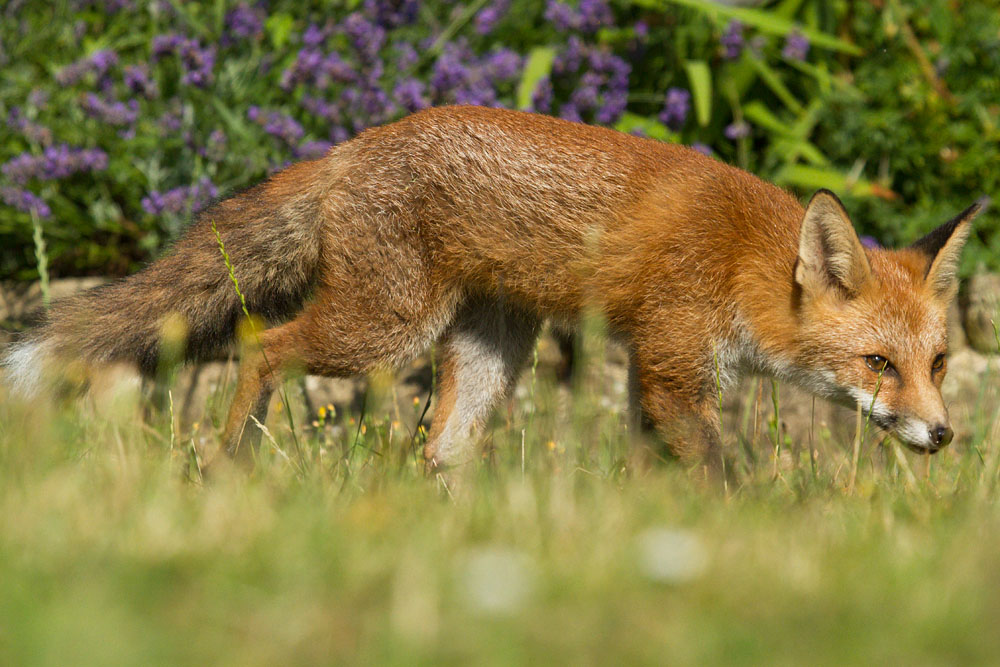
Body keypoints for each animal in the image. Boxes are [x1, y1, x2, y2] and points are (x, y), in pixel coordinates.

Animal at [2, 105, 989, 472]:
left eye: (939, 361)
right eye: (879, 362)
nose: (945, 433)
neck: (743, 259)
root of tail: (351, 145)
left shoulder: (653, 377)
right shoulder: (673, 367)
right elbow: (727, 474)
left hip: (485, 355)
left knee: (436, 451)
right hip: (382, 329)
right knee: (261, 344)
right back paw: (230, 463)